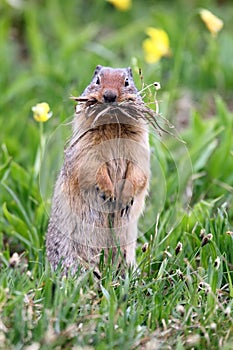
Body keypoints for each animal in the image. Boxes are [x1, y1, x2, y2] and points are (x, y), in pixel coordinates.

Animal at [46, 65, 150, 274]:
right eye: (97, 80)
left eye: (127, 81)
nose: (110, 96)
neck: (112, 123)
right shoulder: (86, 148)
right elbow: (92, 167)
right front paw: (108, 193)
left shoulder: (140, 146)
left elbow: (138, 171)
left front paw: (125, 197)